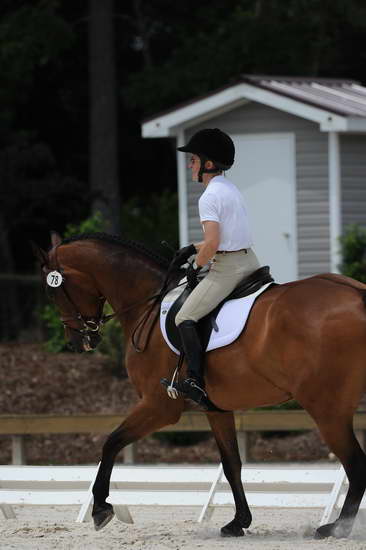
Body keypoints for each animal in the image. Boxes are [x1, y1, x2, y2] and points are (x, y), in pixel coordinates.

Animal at [34, 232, 366, 540]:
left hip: (326, 409)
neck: (147, 305)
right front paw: (238, 522)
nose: (77, 343)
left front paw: (101, 508)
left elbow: (111, 442)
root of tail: (357, 294)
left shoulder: (159, 406)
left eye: (53, 292)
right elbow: (231, 464)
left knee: (355, 463)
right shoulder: (216, 409)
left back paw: (336, 528)